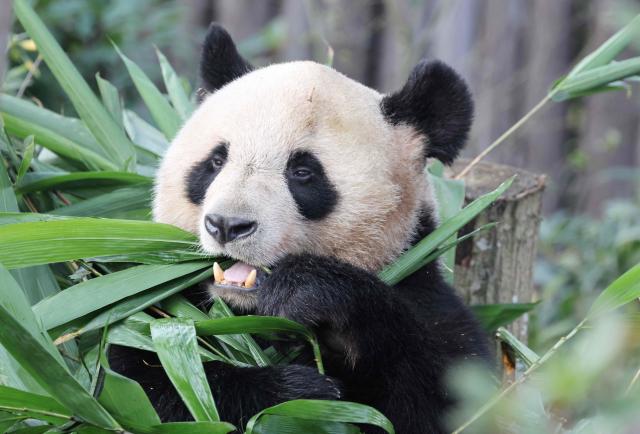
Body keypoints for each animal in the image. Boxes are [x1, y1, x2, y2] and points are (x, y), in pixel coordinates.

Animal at [109, 23, 491, 434]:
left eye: (303, 172)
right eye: (215, 161)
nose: (227, 225)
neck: (247, 309)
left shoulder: (423, 288)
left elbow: (450, 395)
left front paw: (307, 291)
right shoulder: (153, 303)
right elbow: (143, 381)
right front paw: (296, 396)